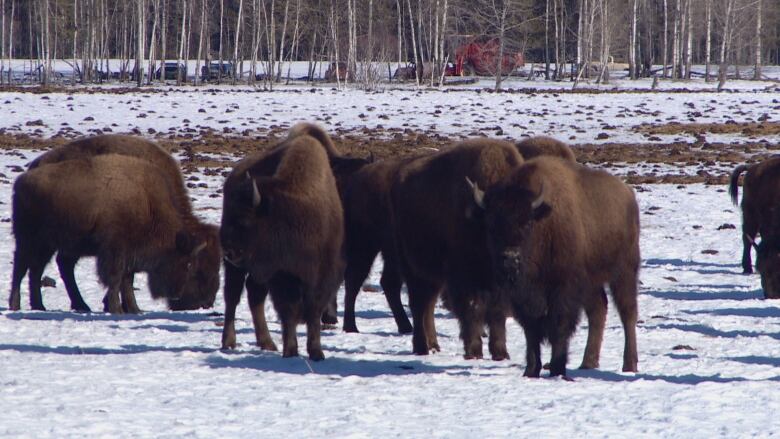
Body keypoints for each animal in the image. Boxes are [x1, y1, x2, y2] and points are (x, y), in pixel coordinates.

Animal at [218, 123, 342, 360]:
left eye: (244, 220)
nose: (229, 250)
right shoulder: (282, 275)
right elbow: (289, 312)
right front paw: (291, 351)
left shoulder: (321, 275)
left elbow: (313, 312)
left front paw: (316, 352)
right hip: (236, 269)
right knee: (233, 297)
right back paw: (229, 342)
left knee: (254, 295)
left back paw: (267, 343)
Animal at [390, 138, 524, 360]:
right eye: (492, 225)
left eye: (528, 223)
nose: (512, 257)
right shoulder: (463, 277)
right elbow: (472, 307)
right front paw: (474, 351)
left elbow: (497, 313)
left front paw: (500, 353)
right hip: (413, 268)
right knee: (418, 305)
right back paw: (421, 347)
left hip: (434, 277)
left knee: (428, 307)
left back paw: (434, 345)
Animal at [470, 156, 640, 376]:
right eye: (491, 226)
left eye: (527, 223)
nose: (510, 258)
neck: (542, 222)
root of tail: (628, 193)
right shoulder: (523, 297)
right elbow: (531, 330)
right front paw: (531, 370)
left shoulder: (563, 289)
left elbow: (559, 325)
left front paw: (557, 369)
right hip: (591, 283)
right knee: (598, 310)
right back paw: (588, 363)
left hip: (624, 272)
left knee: (628, 313)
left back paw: (629, 365)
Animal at [728, 156, 780, 298]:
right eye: (761, 268)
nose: (771, 295)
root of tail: (752, 168)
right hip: (749, 216)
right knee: (747, 240)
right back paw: (747, 268)